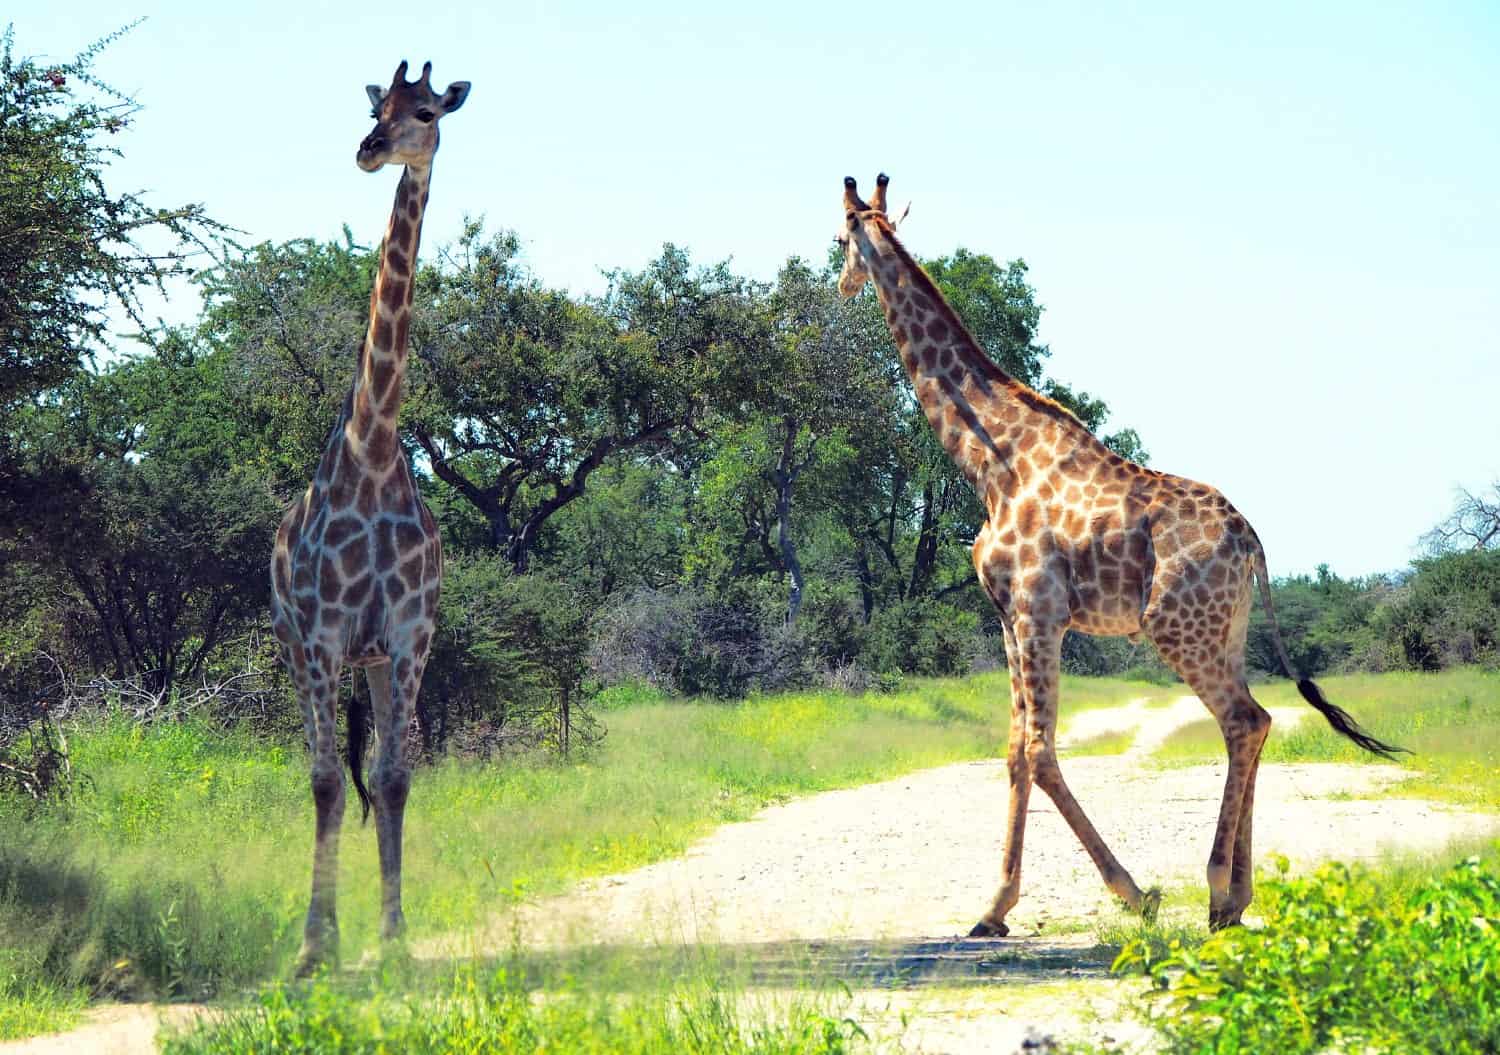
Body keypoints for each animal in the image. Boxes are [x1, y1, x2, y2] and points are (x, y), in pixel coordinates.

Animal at [840, 175, 1398, 942]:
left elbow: (1038, 749)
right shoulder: (1009, 617)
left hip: (1178, 627)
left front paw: (1131, 893)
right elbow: (1014, 750)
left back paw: (1215, 889)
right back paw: (1235, 899)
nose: (841, 284)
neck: (990, 464)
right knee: (1258, 720)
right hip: (1224, 630)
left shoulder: (1038, 610)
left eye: (838, 239)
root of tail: (1252, 540)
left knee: (1244, 721)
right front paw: (993, 908)